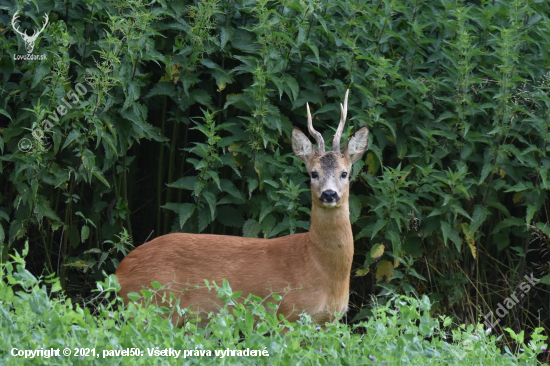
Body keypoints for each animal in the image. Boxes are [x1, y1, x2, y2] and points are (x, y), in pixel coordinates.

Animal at [115, 90, 370, 328]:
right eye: (313, 173)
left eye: (345, 173)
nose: (329, 194)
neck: (319, 267)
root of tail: (119, 271)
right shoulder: (287, 314)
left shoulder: (329, 321)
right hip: (151, 306)